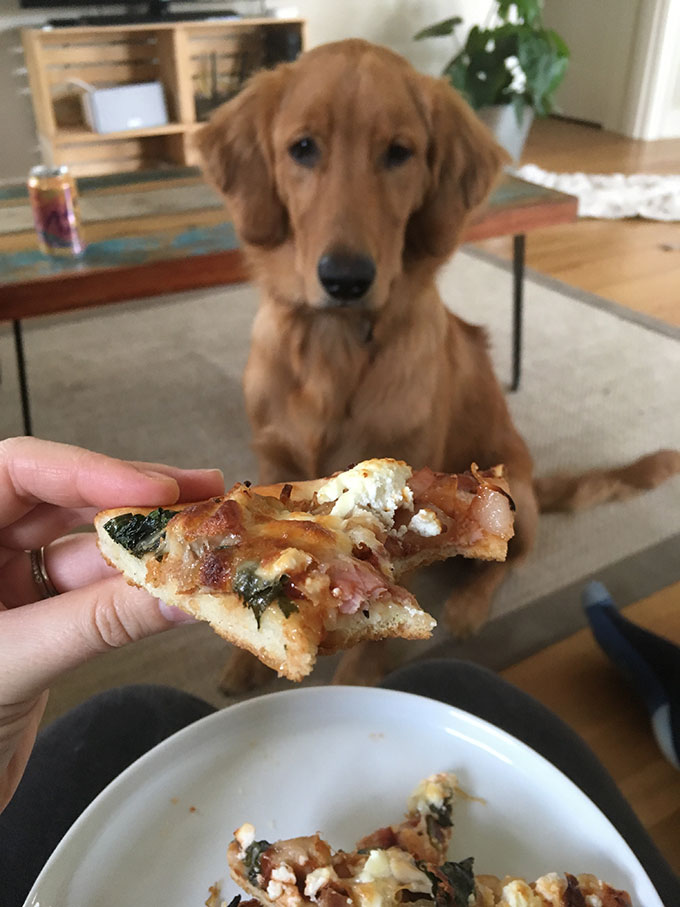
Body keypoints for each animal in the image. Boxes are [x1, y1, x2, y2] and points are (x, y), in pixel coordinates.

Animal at [197, 35, 680, 688]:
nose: (346, 279)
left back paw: (471, 606)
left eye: (399, 153)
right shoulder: (273, 458)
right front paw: (246, 659)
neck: (335, 344)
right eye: (302, 148)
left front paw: (359, 675)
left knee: (507, 563)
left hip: (517, 497)